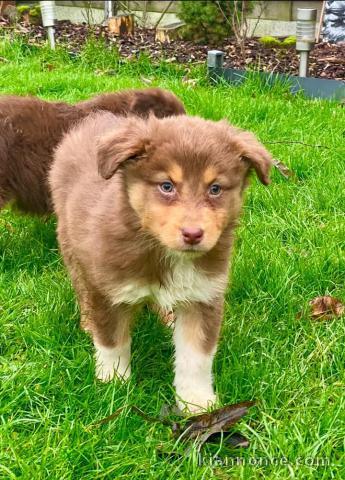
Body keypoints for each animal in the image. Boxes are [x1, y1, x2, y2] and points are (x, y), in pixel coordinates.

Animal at [50, 111, 272, 412]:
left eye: (215, 189)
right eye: (167, 186)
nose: (193, 234)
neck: (162, 252)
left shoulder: (202, 296)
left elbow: (196, 357)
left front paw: (197, 401)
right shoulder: (108, 291)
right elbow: (112, 342)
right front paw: (113, 384)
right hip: (70, 245)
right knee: (81, 286)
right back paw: (88, 322)